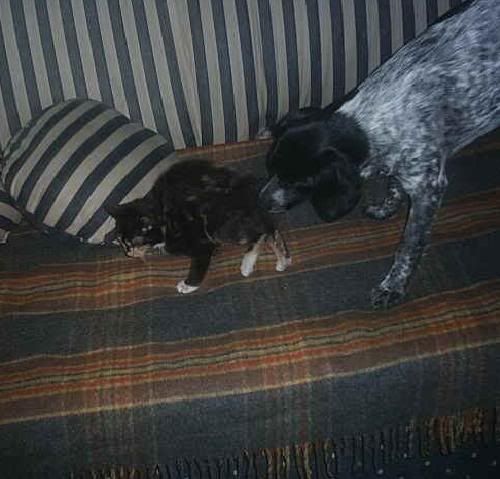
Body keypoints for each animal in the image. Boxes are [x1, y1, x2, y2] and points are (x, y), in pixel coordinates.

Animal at [108, 159, 291, 294]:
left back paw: (248, 263)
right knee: (271, 228)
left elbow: (199, 264)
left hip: (217, 223)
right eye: (122, 243)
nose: (127, 253)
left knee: (262, 231)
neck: (165, 219)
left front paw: (188, 285)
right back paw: (284, 259)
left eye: (130, 244)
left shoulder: (202, 241)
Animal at [259, 0, 500, 308]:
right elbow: (394, 186)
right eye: (271, 168)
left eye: (299, 183)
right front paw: (386, 208)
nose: (261, 201)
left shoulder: (429, 188)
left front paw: (393, 286)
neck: (371, 118)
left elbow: (409, 246)